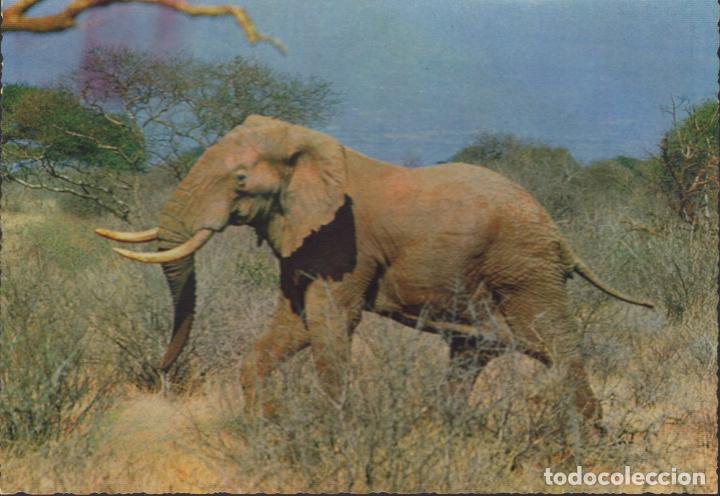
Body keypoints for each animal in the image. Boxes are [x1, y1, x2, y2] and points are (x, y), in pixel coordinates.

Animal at [96, 115, 653, 424]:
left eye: (238, 179)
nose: (159, 373)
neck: (308, 146)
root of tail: (560, 236)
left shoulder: (343, 243)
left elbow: (330, 324)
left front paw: (331, 429)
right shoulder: (303, 239)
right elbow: (294, 326)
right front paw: (266, 427)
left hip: (523, 269)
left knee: (553, 344)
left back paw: (589, 442)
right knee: (475, 349)